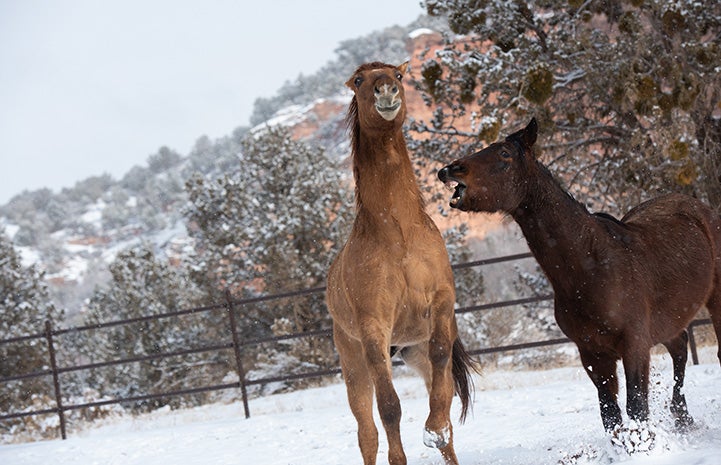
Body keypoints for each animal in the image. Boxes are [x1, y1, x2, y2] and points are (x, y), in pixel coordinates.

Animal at [328, 62, 478, 464]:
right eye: (359, 81)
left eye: (397, 74)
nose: (386, 92)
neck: (398, 235)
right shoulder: (374, 329)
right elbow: (389, 408)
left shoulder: (441, 304)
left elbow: (442, 369)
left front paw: (434, 428)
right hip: (354, 364)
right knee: (367, 432)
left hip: (413, 351)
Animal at [436, 117, 720, 432]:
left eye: (504, 155)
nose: (449, 170)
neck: (593, 267)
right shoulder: (592, 354)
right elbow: (610, 415)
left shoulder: (634, 345)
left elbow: (636, 408)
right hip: (669, 320)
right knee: (680, 347)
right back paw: (682, 417)